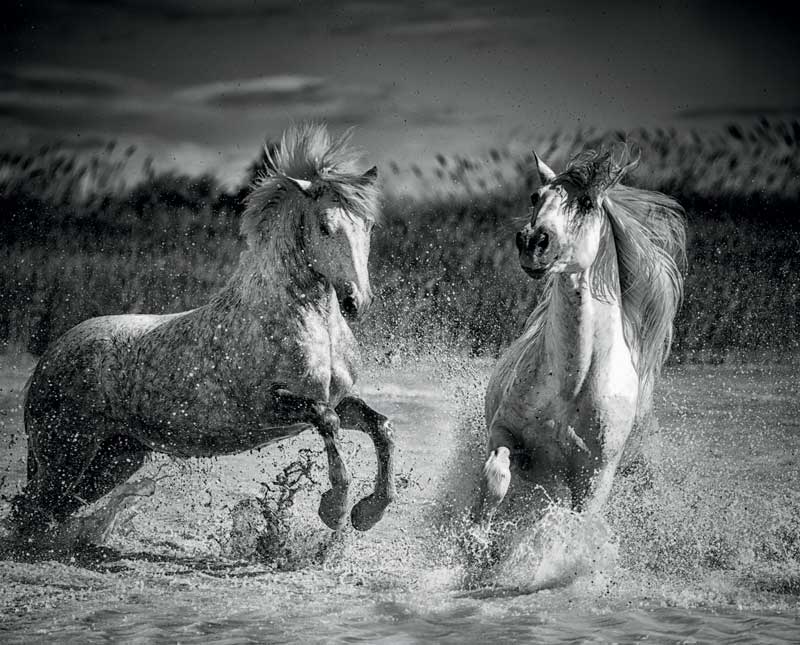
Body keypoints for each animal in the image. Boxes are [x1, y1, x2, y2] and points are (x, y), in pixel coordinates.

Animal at [12, 123, 396, 540]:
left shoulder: (336, 397)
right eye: (325, 227)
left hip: (116, 457)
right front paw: (336, 510)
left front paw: (368, 513)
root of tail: (49, 357)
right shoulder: (271, 406)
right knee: (30, 510)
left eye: (368, 225)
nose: (357, 301)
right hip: (66, 456)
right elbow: (329, 422)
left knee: (46, 510)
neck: (311, 325)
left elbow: (380, 427)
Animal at [472, 146, 684, 532]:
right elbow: (496, 477)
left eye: (586, 202)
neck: (574, 381)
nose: (533, 242)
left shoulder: (595, 477)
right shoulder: (504, 432)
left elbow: (574, 524)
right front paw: (476, 538)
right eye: (535, 196)